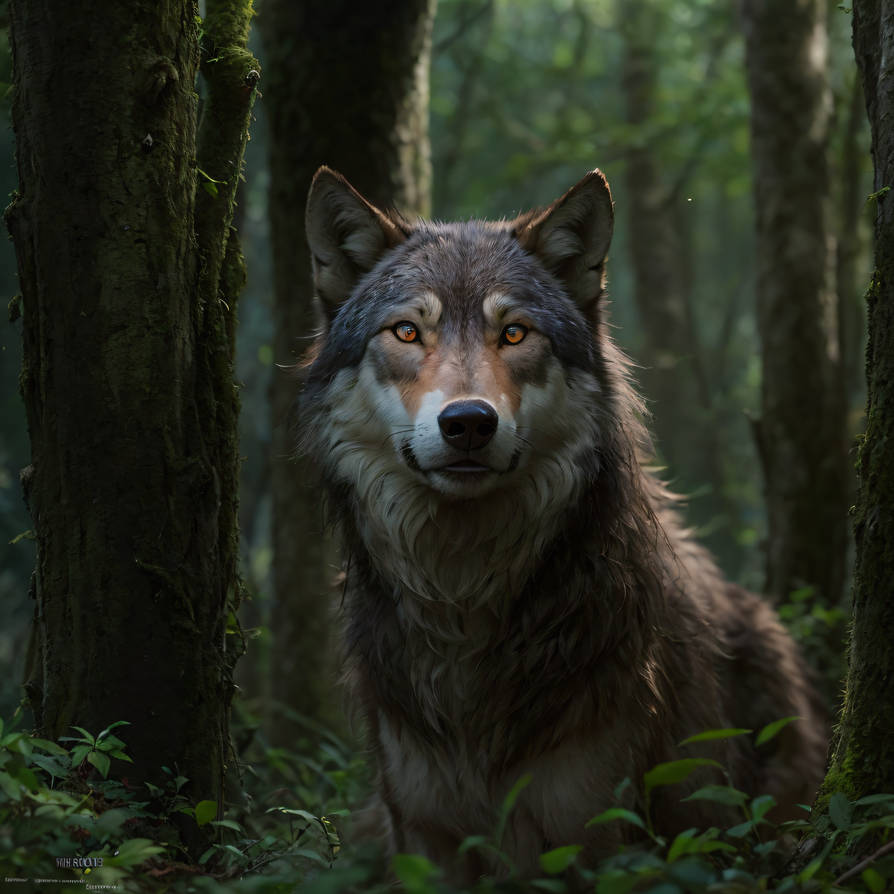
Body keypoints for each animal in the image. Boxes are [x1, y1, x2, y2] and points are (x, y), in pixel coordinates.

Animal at [297, 166, 827, 881]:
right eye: (407, 333)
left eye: (515, 334)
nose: (469, 422)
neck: (464, 602)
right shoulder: (425, 838)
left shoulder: (597, 834)